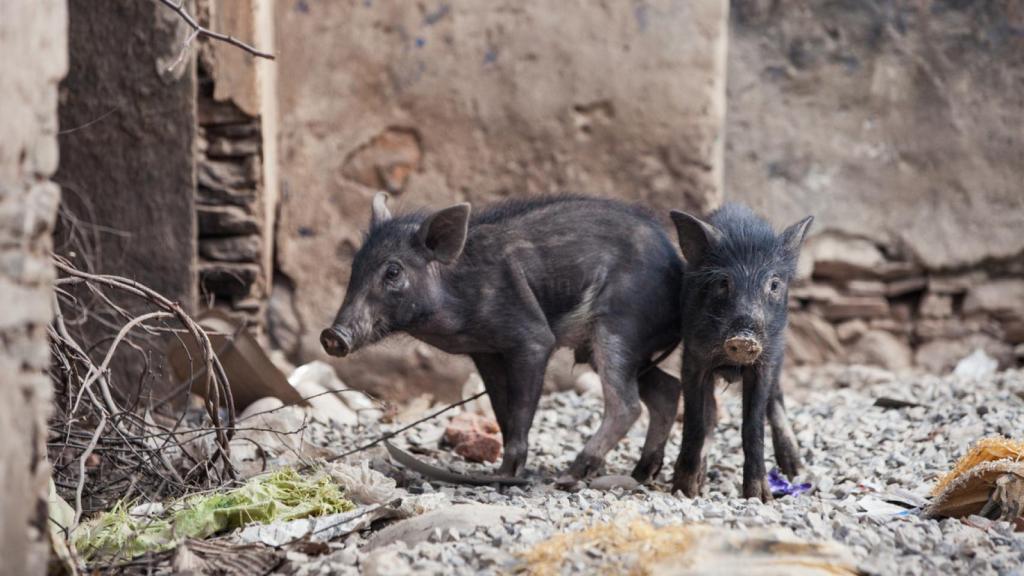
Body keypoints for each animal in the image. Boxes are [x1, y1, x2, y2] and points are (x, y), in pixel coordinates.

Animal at [323, 194, 684, 481]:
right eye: (355, 267)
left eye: (393, 271)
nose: (331, 335)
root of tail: (679, 268)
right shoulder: (486, 353)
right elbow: (502, 410)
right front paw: (501, 472)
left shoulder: (532, 340)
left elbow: (522, 408)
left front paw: (509, 474)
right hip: (623, 349)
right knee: (667, 389)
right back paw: (641, 473)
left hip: (619, 329)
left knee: (627, 404)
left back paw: (572, 474)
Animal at [667, 203, 811, 500]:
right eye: (723, 282)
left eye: (774, 284)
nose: (744, 339)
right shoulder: (694, 359)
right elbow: (696, 422)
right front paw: (684, 490)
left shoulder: (764, 362)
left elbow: (753, 425)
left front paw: (760, 497)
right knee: (711, 413)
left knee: (776, 398)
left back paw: (796, 469)